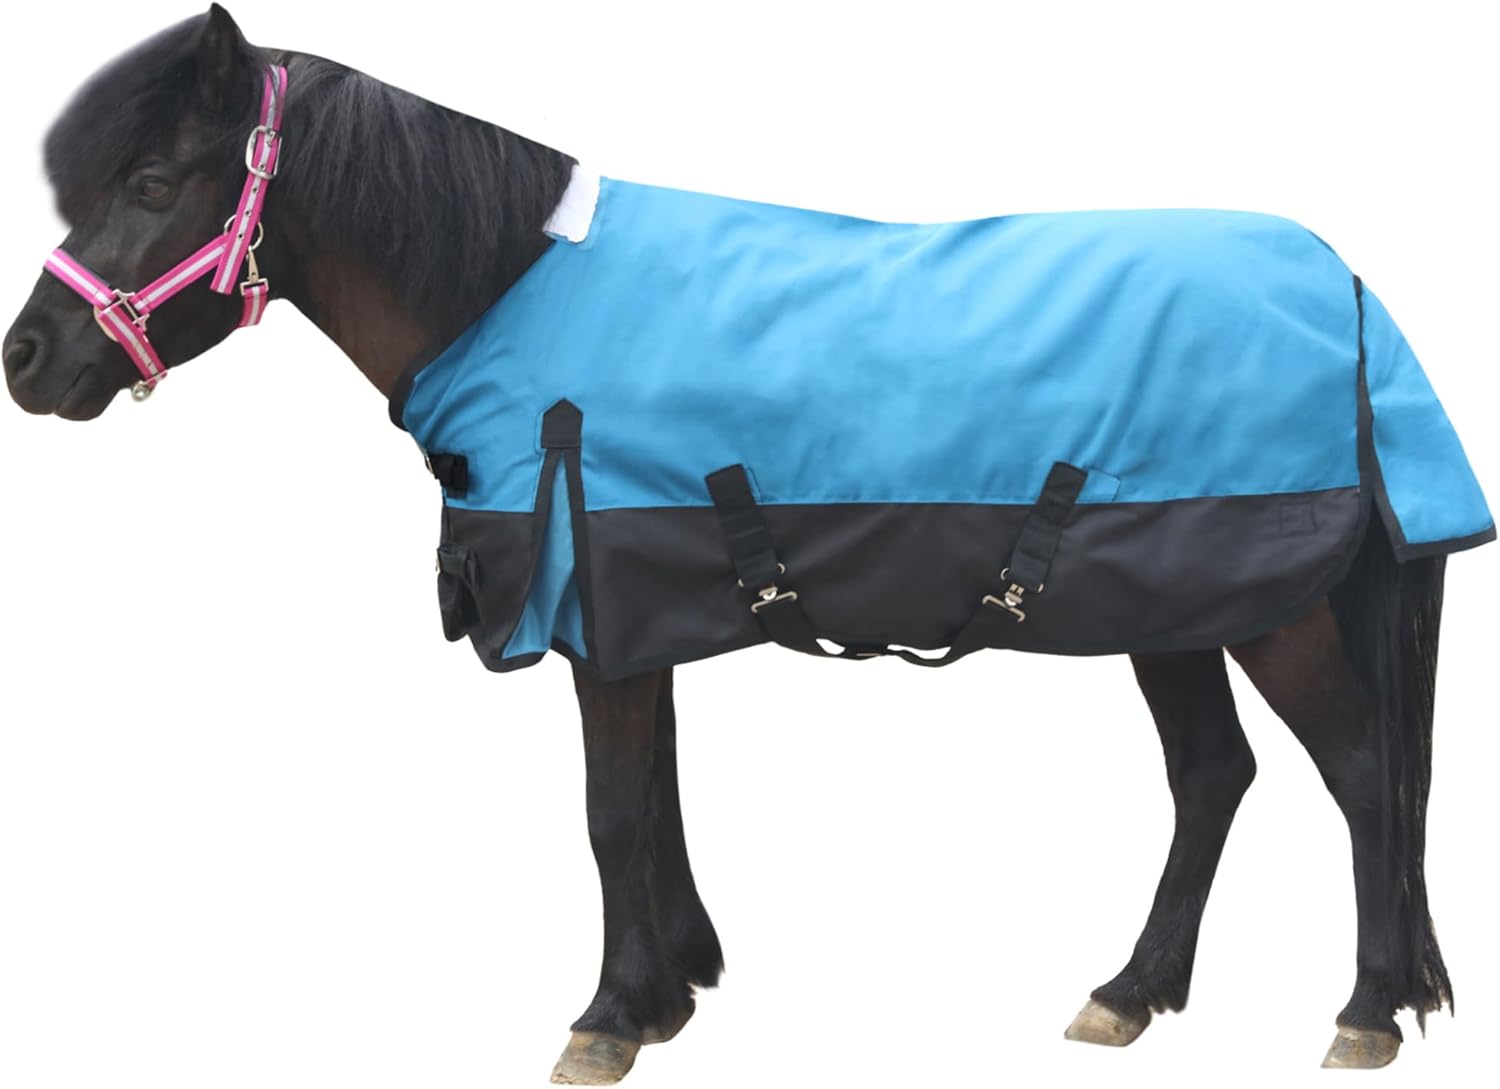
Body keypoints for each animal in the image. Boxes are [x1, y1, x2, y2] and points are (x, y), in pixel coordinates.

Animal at [2, 6, 1490, 1083]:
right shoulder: (628, 607)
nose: (26, 359)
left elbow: (610, 810)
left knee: (1367, 779)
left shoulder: (593, 607)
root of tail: (1353, 292)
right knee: (1216, 777)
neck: (507, 288)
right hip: (1171, 602)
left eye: (153, 177)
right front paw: (674, 989)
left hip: (1270, 611)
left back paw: (1364, 1012)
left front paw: (608, 1017)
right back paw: (1129, 994)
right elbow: (655, 800)